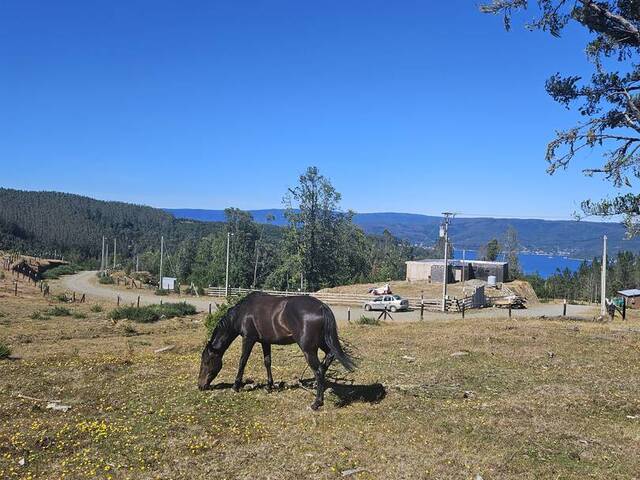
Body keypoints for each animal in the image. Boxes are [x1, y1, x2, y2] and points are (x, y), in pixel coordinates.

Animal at [198, 292, 356, 408]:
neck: (243, 312)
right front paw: (269, 386)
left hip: (309, 349)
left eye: (206, 362)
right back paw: (316, 385)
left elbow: (242, 361)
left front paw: (236, 386)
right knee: (328, 358)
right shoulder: (265, 342)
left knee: (318, 370)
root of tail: (322, 306)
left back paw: (316, 402)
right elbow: (267, 362)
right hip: (322, 342)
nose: (200, 385)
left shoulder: (248, 339)